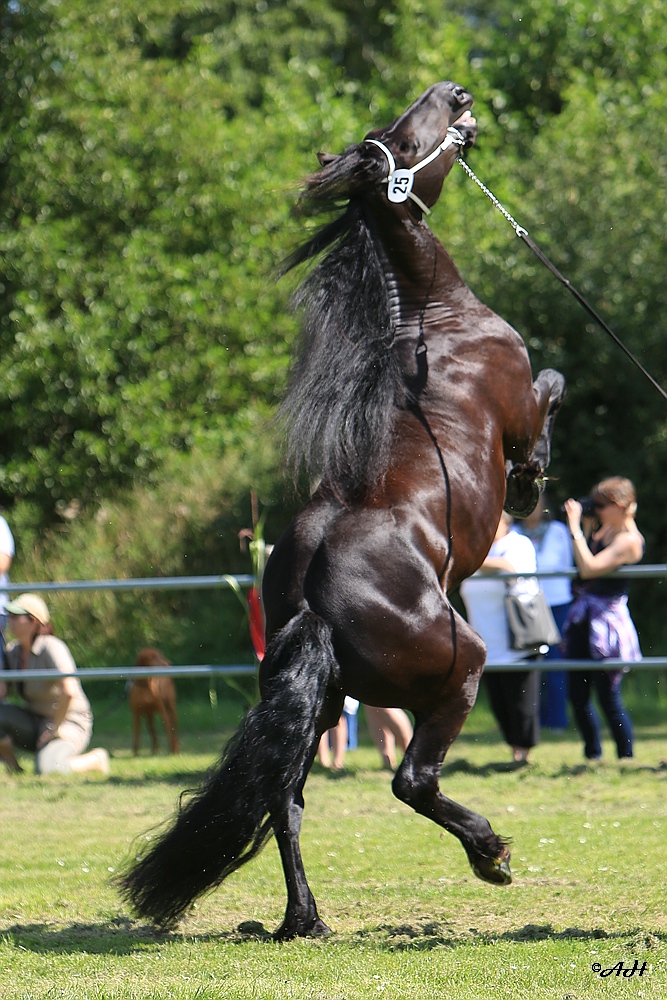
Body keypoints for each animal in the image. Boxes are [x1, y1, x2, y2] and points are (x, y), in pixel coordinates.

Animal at [118, 82, 564, 940]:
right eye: (405, 135)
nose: (454, 92)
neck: (433, 323)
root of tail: (313, 601)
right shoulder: (522, 401)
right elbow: (551, 392)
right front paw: (529, 481)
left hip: (319, 704)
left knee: (284, 804)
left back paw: (304, 919)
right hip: (457, 671)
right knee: (410, 780)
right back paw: (488, 853)